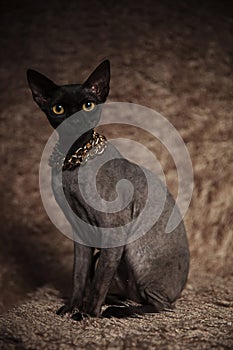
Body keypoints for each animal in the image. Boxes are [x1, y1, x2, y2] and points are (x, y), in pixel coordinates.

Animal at [26, 60, 189, 320]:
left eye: (88, 105)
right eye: (58, 109)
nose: (75, 120)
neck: (73, 161)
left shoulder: (113, 233)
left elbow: (99, 282)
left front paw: (87, 316)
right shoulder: (80, 233)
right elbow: (79, 277)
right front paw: (72, 308)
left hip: (135, 252)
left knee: (160, 305)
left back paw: (114, 310)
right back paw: (116, 301)